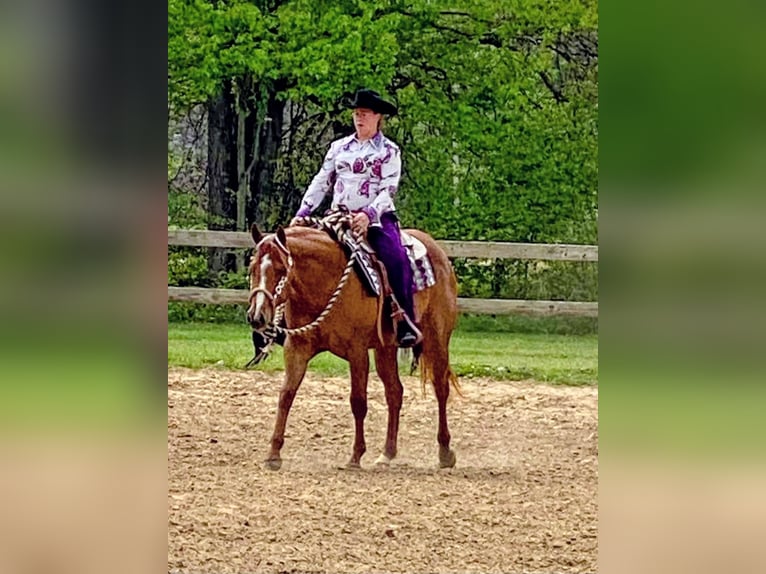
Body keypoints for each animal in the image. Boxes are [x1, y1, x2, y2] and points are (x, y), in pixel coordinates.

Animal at [246, 221, 460, 470]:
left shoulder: (357, 352)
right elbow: (286, 396)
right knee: (395, 392)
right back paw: (387, 453)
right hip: (385, 348)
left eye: (281, 268)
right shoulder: (296, 349)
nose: (257, 316)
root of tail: (438, 252)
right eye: (252, 267)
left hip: (437, 338)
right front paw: (273, 454)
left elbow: (358, 401)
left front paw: (356, 456)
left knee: (441, 389)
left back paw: (445, 452)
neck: (324, 284)